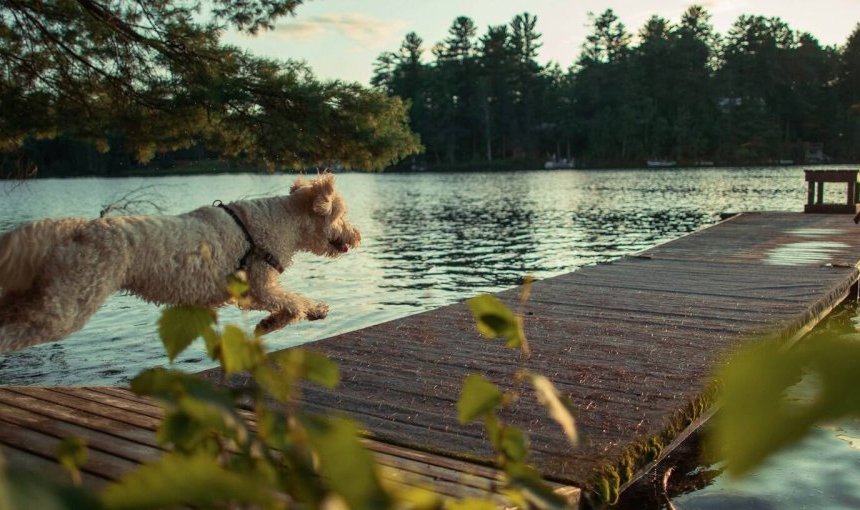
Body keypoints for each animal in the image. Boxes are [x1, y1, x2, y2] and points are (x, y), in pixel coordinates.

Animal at [0, 173, 360, 352]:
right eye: (342, 215)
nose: (357, 236)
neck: (279, 221)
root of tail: (77, 228)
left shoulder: (247, 293)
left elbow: (293, 304)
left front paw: (303, 314)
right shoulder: (259, 285)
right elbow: (293, 302)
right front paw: (281, 320)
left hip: (45, 294)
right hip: (69, 306)